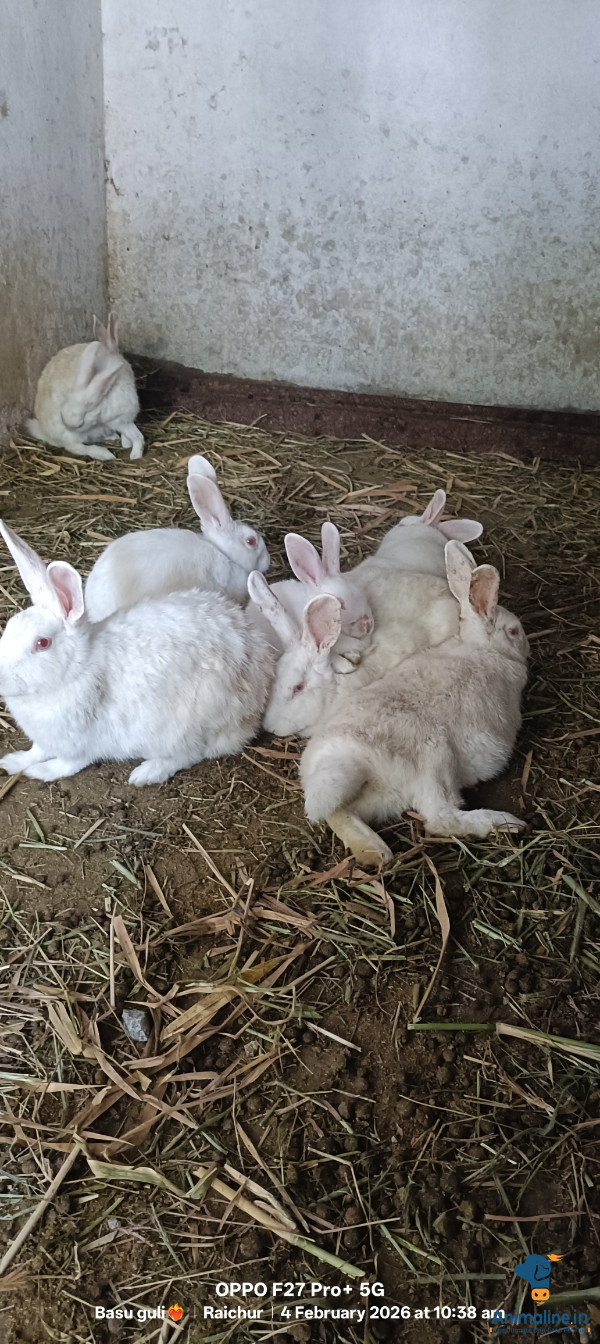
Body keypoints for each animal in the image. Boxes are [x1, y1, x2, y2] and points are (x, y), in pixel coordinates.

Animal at [0, 522, 275, 786]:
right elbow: (35, 751)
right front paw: (12, 762)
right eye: (8, 628)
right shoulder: (45, 740)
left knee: (188, 755)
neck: (79, 668)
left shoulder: (81, 745)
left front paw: (40, 772)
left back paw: (146, 774)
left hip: (185, 728)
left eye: (42, 643)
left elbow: (66, 765)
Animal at [25, 315, 144, 462]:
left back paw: (112, 437)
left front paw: (126, 444)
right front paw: (135, 453)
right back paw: (104, 453)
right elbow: (136, 436)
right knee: (76, 447)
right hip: (70, 436)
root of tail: (45, 431)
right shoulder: (119, 420)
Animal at [298, 540, 529, 866]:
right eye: (514, 631)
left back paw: (375, 851)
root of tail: (341, 763)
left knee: (340, 814)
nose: (527, 645)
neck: (482, 648)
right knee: (441, 819)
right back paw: (506, 823)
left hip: (379, 795)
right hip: (433, 758)